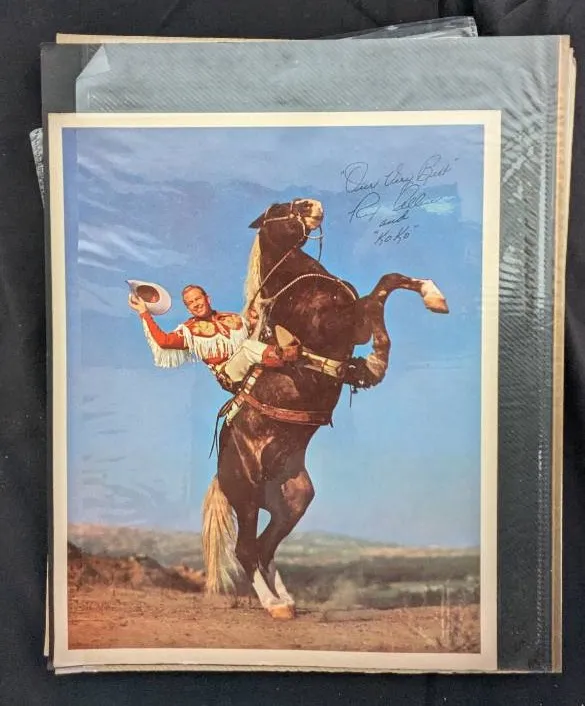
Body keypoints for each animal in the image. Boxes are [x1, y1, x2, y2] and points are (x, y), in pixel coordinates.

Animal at [202, 198, 449, 620]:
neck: (301, 283)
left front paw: (434, 297)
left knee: (265, 548)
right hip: (247, 495)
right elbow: (379, 296)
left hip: (292, 500)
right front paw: (376, 363)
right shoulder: (341, 324)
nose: (310, 204)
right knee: (247, 550)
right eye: (277, 209)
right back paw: (273, 605)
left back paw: (285, 599)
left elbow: (389, 281)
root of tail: (222, 474)